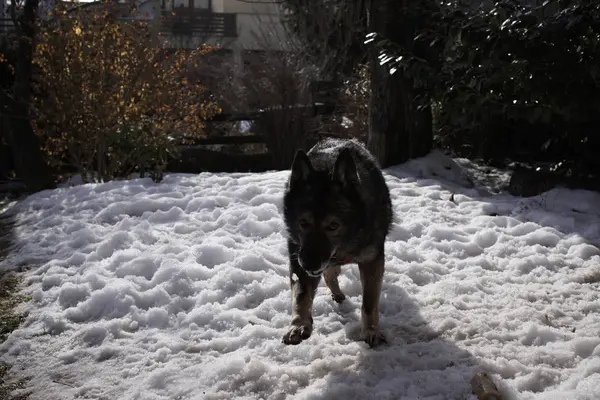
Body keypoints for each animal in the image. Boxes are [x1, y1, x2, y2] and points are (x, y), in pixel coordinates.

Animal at [282, 138, 394, 346]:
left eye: (333, 225)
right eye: (303, 223)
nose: (309, 264)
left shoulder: (372, 261)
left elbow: (369, 302)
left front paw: (370, 331)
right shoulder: (298, 257)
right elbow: (301, 294)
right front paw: (299, 325)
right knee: (329, 274)